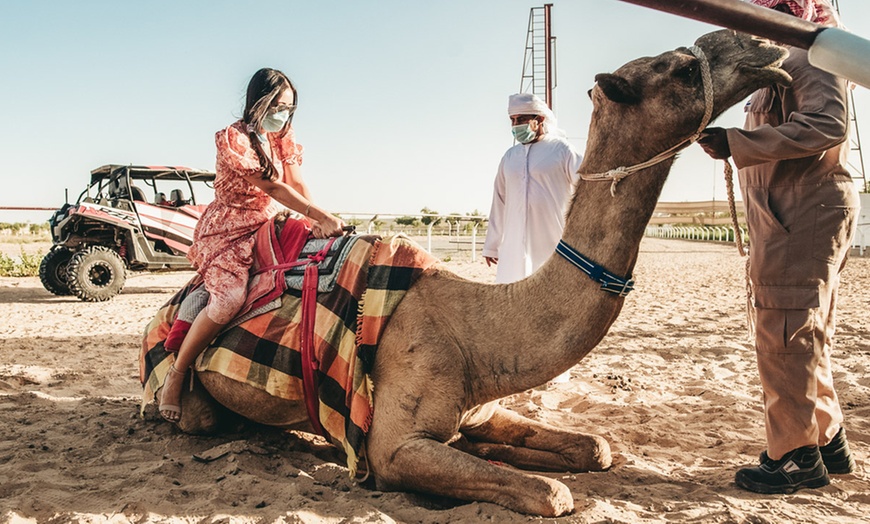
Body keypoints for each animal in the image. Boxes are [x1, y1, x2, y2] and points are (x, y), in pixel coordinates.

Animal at [153, 28, 792, 516]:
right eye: (680, 68)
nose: (765, 45)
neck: (477, 332)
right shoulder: (394, 447)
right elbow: (553, 493)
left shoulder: (480, 403)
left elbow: (595, 448)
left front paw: (505, 451)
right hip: (191, 394)